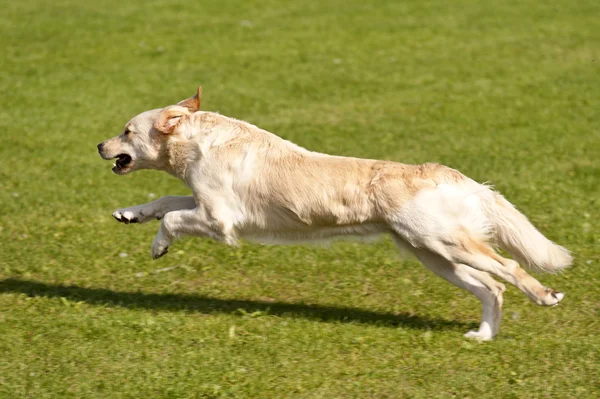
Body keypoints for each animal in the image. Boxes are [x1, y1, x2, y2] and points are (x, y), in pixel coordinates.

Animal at [97, 87, 572, 340]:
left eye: (127, 131)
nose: (99, 146)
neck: (198, 142)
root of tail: (456, 176)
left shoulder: (220, 220)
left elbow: (173, 217)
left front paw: (159, 245)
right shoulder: (205, 204)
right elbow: (165, 201)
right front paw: (130, 213)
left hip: (448, 244)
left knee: (509, 269)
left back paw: (546, 296)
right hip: (434, 255)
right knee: (493, 288)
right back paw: (483, 336)